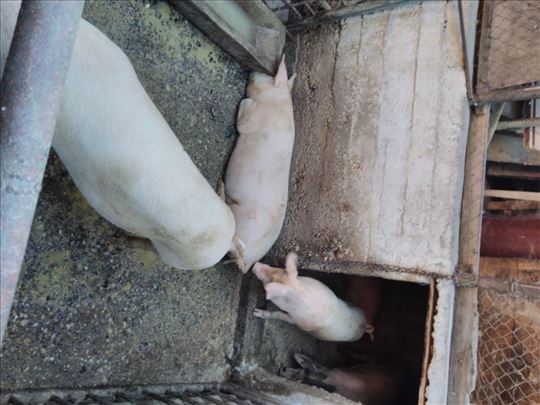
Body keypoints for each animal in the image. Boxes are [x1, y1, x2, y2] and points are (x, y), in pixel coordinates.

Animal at [226, 58, 298, 272]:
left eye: (268, 77)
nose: (252, 71)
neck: (276, 101)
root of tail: (248, 261)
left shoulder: (254, 118)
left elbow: (242, 120)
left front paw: (244, 102)